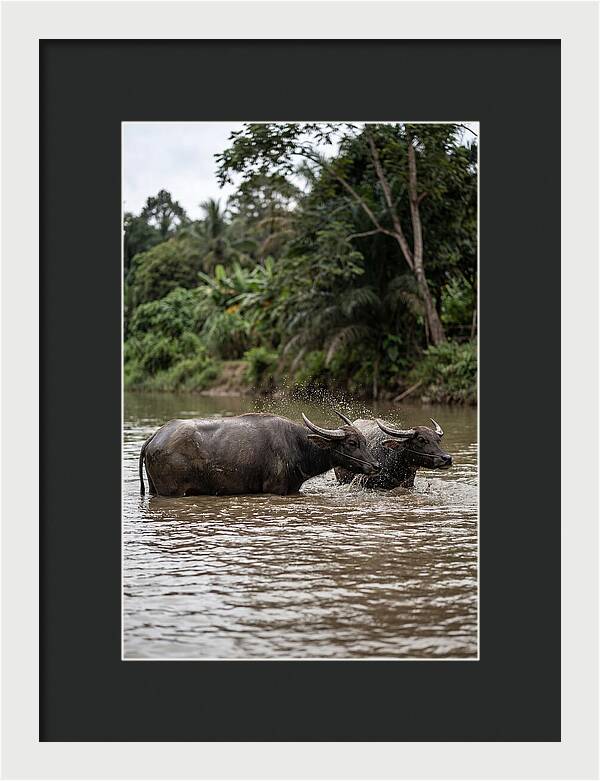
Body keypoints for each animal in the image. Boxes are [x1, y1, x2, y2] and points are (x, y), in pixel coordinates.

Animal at [139, 412, 380, 497]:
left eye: (365, 441)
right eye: (352, 442)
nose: (376, 465)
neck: (298, 445)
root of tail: (155, 437)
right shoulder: (276, 488)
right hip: (172, 492)